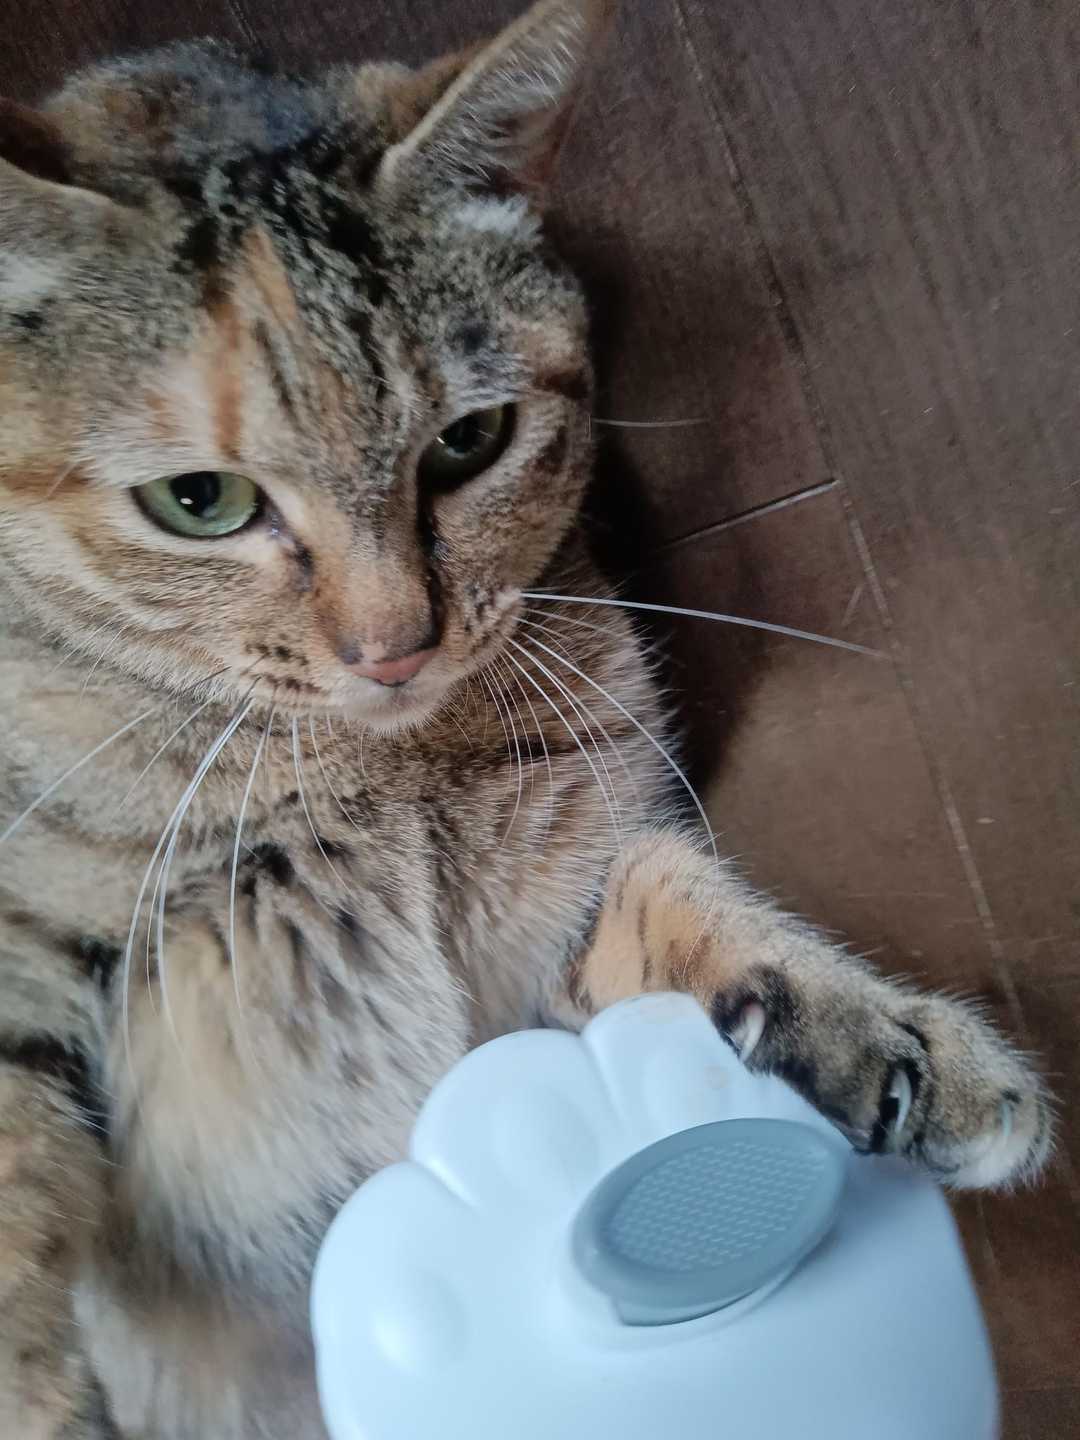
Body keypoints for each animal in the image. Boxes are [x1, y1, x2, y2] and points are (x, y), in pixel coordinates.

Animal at [0, 0, 1052, 1435]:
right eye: (199, 502)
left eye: (469, 442)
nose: (395, 646)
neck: (378, 768)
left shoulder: (564, 890)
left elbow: (681, 902)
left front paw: (887, 1042)